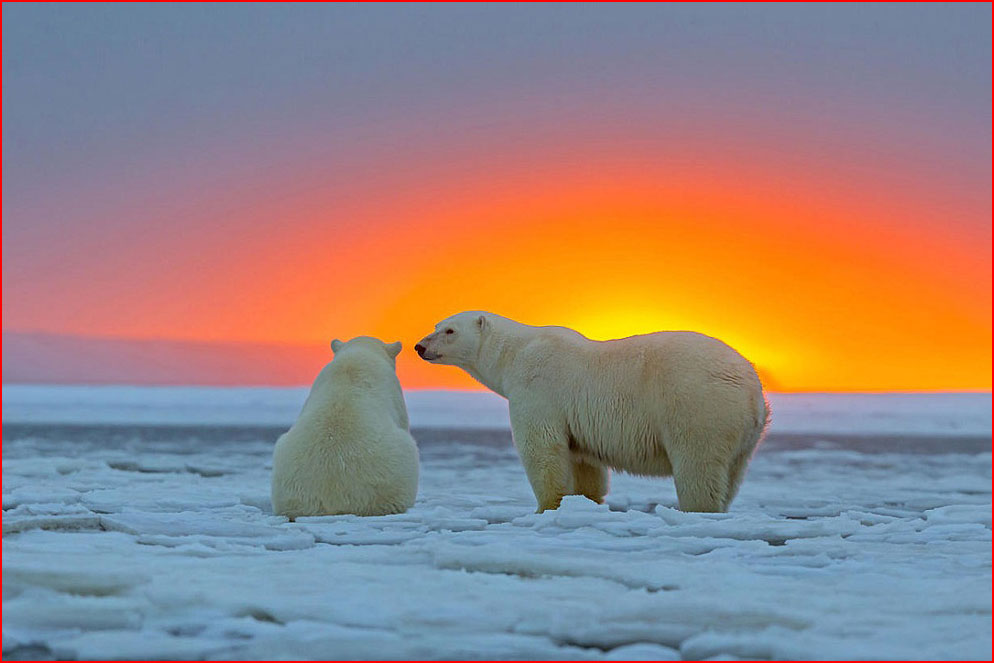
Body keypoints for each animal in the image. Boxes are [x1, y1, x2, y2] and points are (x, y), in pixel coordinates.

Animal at [412, 312, 768, 512]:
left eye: (449, 331)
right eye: (436, 325)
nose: (419, 346)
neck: (515, 353)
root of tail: (752, 387)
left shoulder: (538, 388)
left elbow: (542, 449)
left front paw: (546, 507)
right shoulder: (578, 421)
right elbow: (585, 463)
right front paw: (587, 502)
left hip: (698, 407)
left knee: (698, 466)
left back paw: (696, 510)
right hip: (744, 434)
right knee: (732, 474)